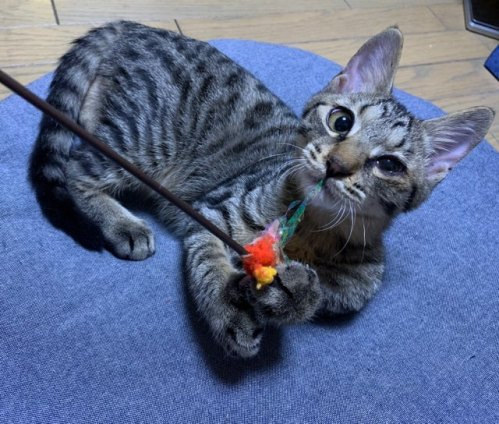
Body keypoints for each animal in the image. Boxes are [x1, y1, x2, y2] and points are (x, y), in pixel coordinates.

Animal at [30, 21, 494, 358]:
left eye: (389, 165)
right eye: (341, 121)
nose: (336, 165)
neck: (314, 230)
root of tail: (133, 25)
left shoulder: (353, 291)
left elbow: (322, 296)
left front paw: (293, 293)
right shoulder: (212, 212)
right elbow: (205, 261)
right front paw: (227, 310)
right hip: (140, 140)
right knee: (76, 169)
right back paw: (123, 224)